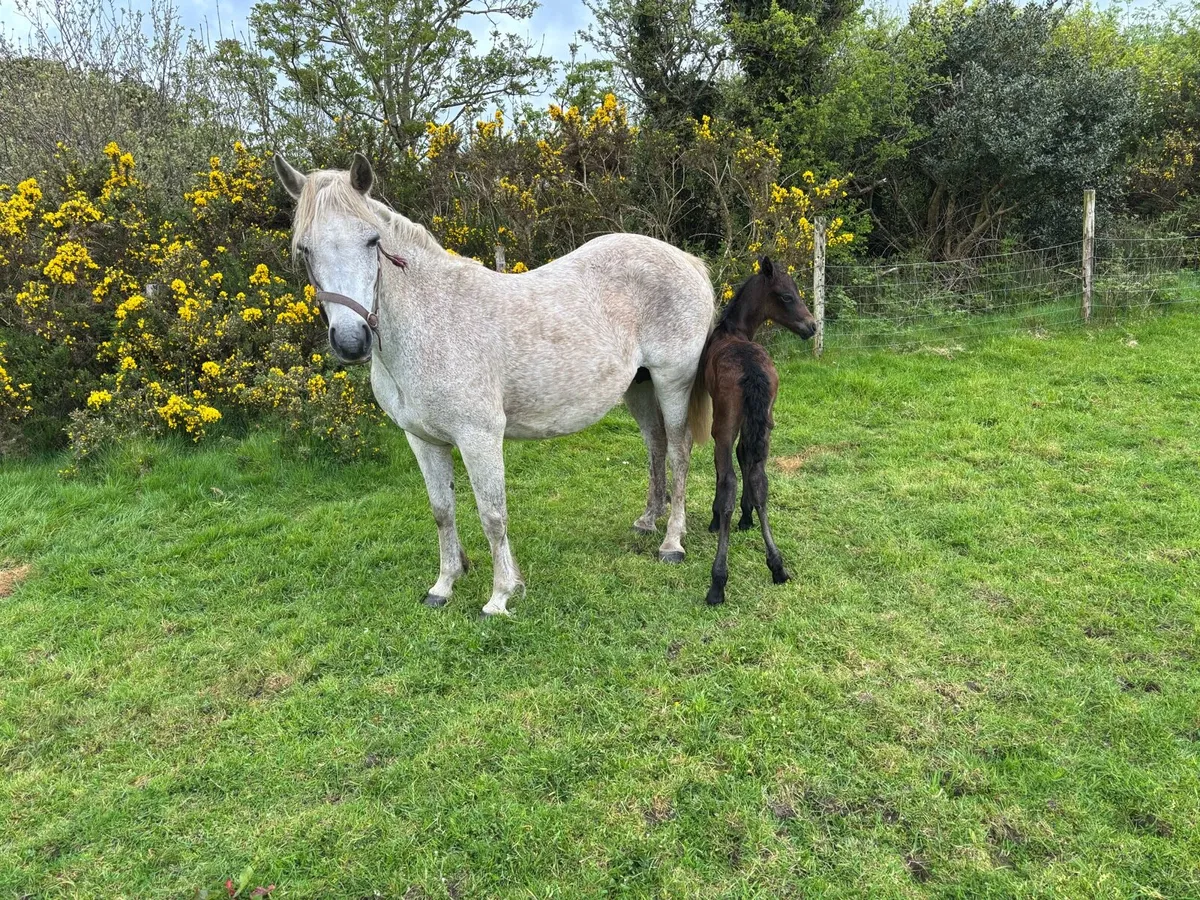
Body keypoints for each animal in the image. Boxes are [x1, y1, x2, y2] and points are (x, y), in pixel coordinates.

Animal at [273, 152, 714, 616]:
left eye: (372, 241)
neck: (431, 323)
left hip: (672, 382)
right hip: (639, 387)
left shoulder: (479, 437)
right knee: (656, 446)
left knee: (679, 451)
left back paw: (672, 542)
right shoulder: (422, 440)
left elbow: (492, 515)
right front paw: (444, 584)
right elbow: (442, 510)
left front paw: (501, 595)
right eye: (304, 249)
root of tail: (686, 261)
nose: (351, 340)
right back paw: (648, 521)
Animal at [700, 255, 816, 606]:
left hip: (723, 427)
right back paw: (777, 566)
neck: (733, 332)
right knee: (761, 479)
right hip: (766, 422)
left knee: (728, 481)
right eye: (787, 296)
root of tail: (751, 370)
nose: (812, 326)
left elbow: (727, 471)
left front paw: (724, 518)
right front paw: (747, 516)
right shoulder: (756, 422)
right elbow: (747, 461)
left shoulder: (725, 424)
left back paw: (718, 582)